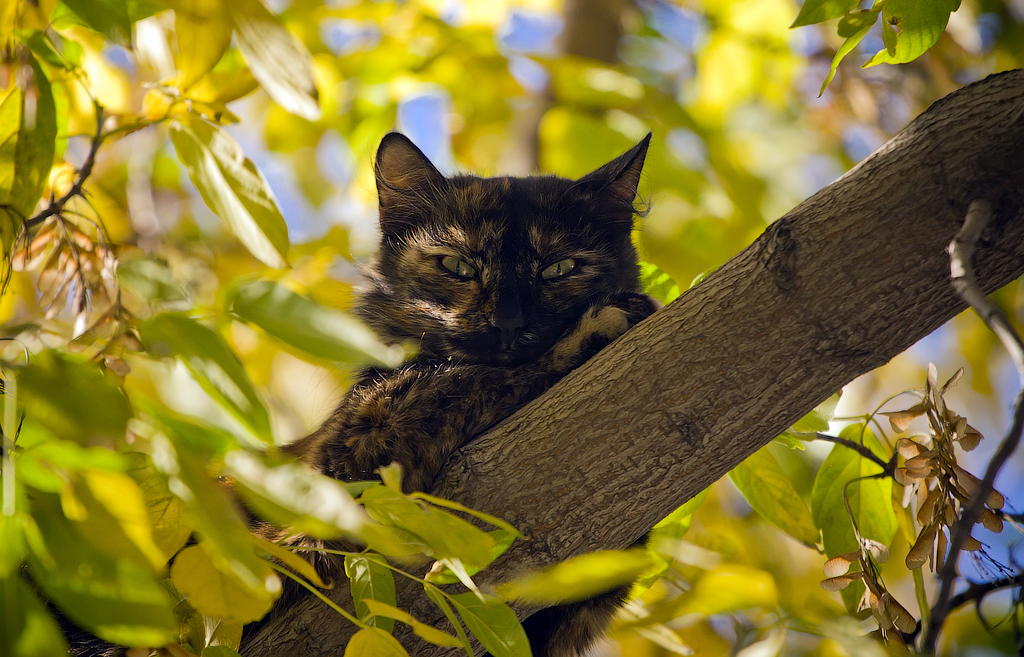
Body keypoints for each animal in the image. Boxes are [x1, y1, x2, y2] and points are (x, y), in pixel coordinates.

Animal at [280, 133, 659, 654]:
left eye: (559, 269)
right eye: (457, 266)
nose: (508, 323)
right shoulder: (354, 449)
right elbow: (475, 375)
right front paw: (597, 328)